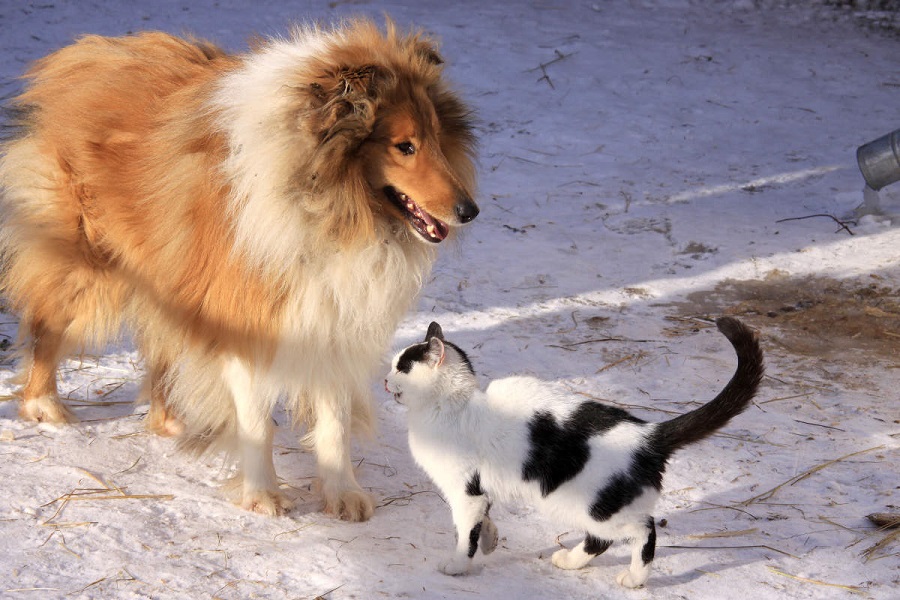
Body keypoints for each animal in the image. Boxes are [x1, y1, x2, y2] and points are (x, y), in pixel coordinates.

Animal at [1, 19, 478, 520]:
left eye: (437, 139)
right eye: (404, 146)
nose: (470, 211)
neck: (325, 202)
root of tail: (86, 54)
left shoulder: (330, 317)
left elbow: (335, 421)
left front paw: (342, 494)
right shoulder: (246, 318)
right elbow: (257, 423)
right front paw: (263, 496)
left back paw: (170, 422)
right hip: (85, 262)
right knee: (47, 328)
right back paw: (45, 408)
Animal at [384, 316, 764, 588]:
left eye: (402, 367)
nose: (385, 381)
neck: (454, 405)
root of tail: (647, 434)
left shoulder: (465, 491)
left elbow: (465, 533)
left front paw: (459, 564)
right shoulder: (481, 491)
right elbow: (484, 520)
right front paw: (491, 540)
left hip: (590, 506)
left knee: (644, 530)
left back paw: (635, 579)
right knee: (603, 540)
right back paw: (570, 561)